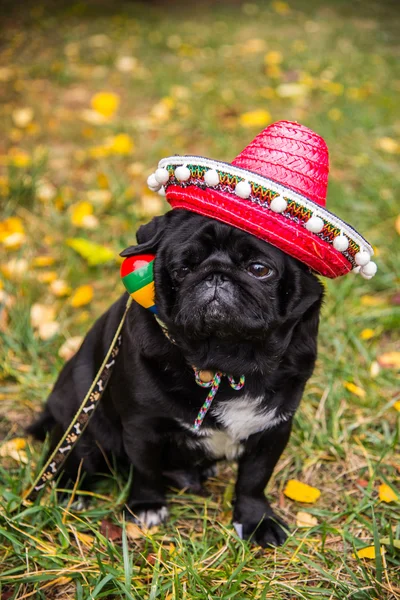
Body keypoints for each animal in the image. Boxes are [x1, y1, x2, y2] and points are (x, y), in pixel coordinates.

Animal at [28, 209, 324, 548]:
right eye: (183, 269)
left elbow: (253, 480)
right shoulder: (142, 427)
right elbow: (146, 470)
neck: (226, 361)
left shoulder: (272, 429)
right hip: (87, 434)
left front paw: (256, 520)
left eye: (259, 269)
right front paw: (147, 506)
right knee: (75, 458)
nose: (216, 275)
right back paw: (71, 494)